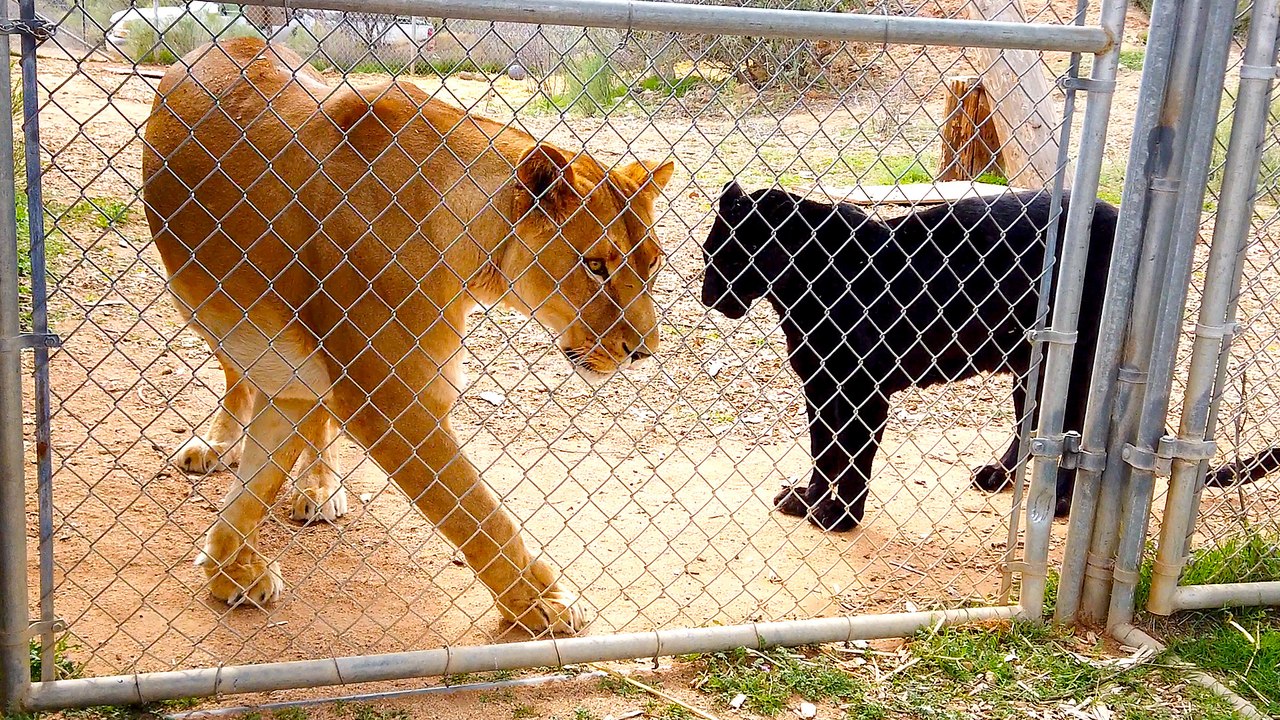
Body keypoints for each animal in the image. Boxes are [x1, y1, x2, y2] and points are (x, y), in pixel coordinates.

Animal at [142, 37, 673, 634]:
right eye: (597, 266)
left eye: (652, 264)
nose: (643, 352)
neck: (471, 246)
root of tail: (225, 41)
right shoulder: (392, 400)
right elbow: (476, 515)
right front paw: (542, 606)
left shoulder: (309, 383)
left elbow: (256, 485)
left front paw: (229, 568)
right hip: (207, 309)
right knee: (236, 374)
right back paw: (219, 445)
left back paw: (320, 486)